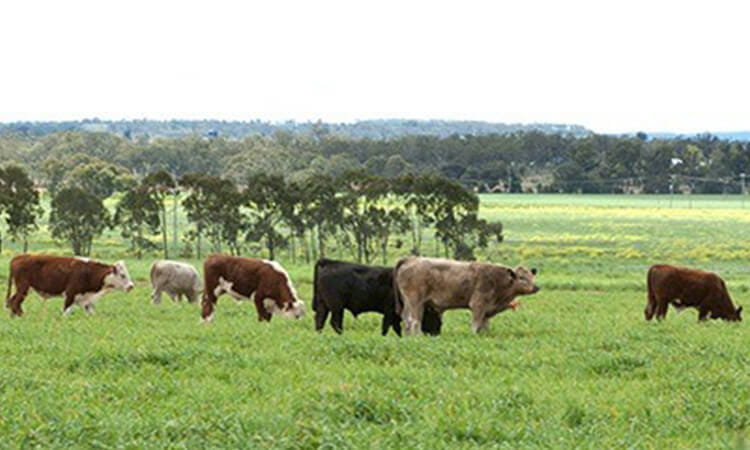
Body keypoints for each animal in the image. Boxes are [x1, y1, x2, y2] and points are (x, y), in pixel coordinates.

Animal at [4, 253, 135, 316]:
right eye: (122, 275)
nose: (131, 286)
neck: (88, 271)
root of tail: (18, 257)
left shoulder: (86, 299)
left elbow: (92, 313)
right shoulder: (70, 294)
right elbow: (66, 312)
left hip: (23, 289)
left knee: (12, 302)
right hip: (23, 288)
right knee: (15, 303)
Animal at [312, 258, 444, 336]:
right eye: (434, 316)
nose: (436, 333)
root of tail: (328, 263)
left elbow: (396, 328)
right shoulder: (390, 311)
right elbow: (387, 326)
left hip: (323, 305)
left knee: (320, 320)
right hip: (337, 307)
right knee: (335, 322)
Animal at [394, 256, 540, 334]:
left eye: (531, 276)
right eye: (521, 278)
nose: (536, 287)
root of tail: (411, 259)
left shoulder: (487, 310)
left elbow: (484, 325)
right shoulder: (478, 305)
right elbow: (476, 324)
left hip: (409, 303)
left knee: (406, 320)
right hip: (415, 302)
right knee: (414, 321)